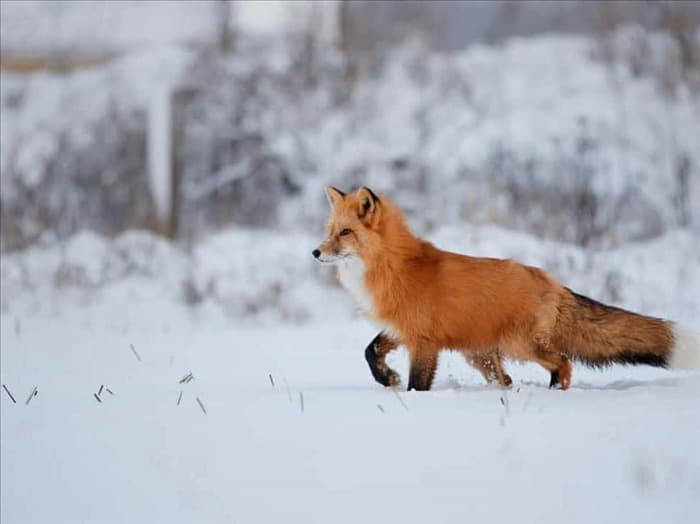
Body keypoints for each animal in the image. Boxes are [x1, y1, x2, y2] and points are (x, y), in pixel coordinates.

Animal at [314, 186, 700, 390]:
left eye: (345, 233)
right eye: (329, 231)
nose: (316, 253)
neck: (394, 267)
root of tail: (552, 281)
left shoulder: (423, 340)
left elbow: (418, 383)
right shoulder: (400, 329)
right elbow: (370, 352)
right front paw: (387, 379)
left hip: (519, 344)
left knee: (563, 363)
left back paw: (556, 393)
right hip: (482, 354)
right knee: (508, 378)